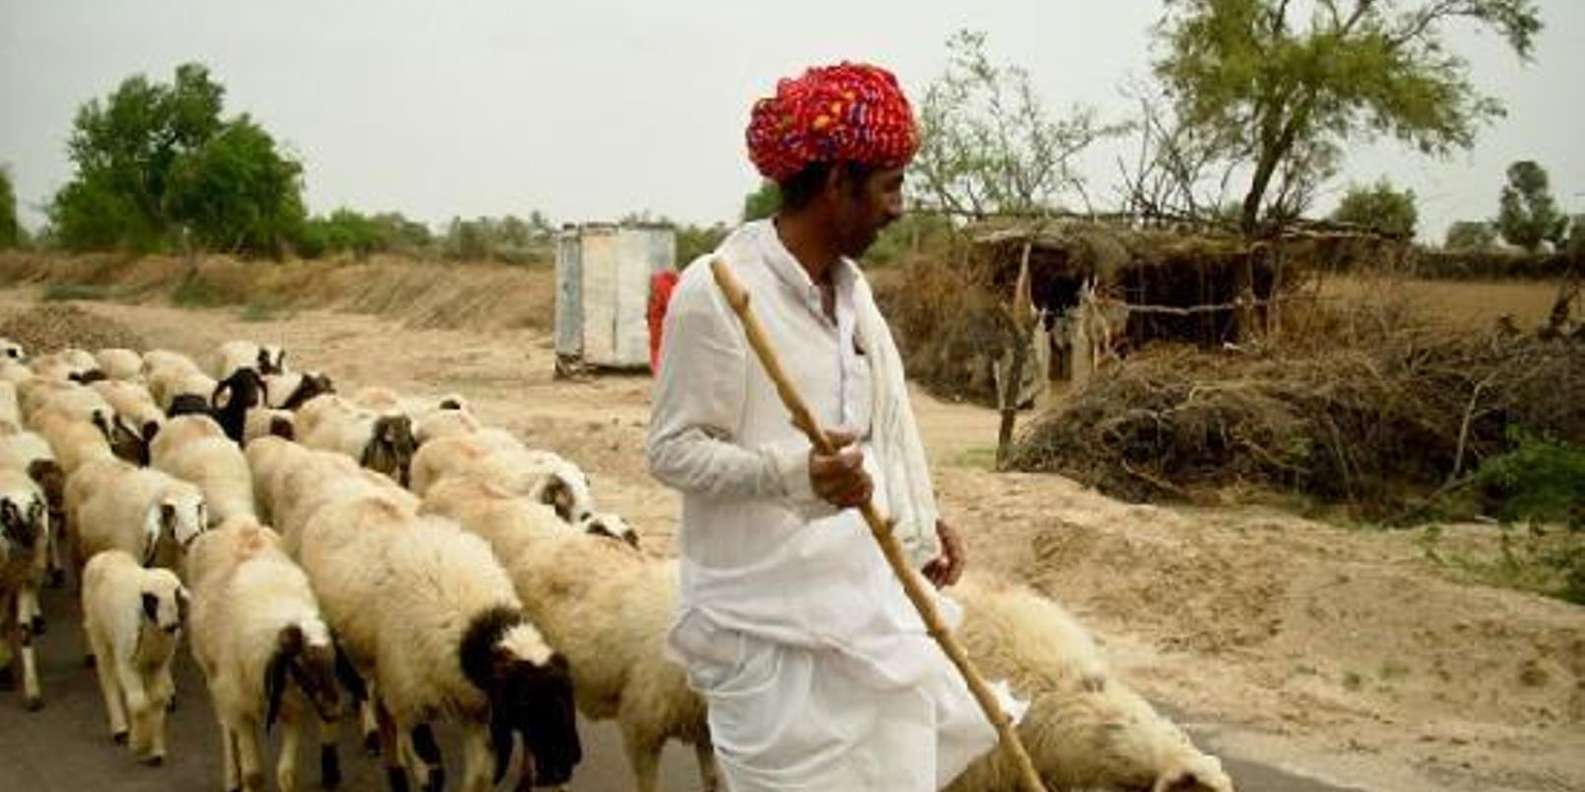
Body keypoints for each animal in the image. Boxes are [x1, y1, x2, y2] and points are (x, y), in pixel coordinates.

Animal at [185, 519, 356, 792]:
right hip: (213, 677)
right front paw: (245, 778)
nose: (333, 711)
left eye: (333, 660)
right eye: (300, 663)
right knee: (226, 727)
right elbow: (254, 775)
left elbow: (287, 773)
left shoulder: (291, 706)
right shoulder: (241, 707)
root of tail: (238, 523)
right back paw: (232, 776)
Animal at [297, 494, 583, 792]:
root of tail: (347, 502)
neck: (472, 628)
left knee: (381, 708)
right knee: (343, 695)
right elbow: (433, 773)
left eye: (569, 693)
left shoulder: (478, 713)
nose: (566, 763)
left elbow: (479, 778)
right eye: (525, 702)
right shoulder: (412, 705)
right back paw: (339, 761)